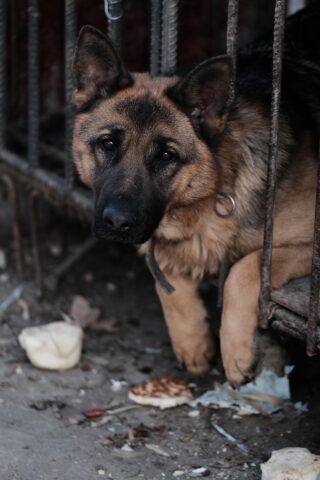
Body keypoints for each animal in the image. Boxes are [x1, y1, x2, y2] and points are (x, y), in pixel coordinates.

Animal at [72, 4, 320, 386]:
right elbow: (166, 282)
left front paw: (235, 352)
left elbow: (242, 270)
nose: (116, 222)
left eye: (166, 156)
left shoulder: (303, 249)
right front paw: (192, 342)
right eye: (108, 143)